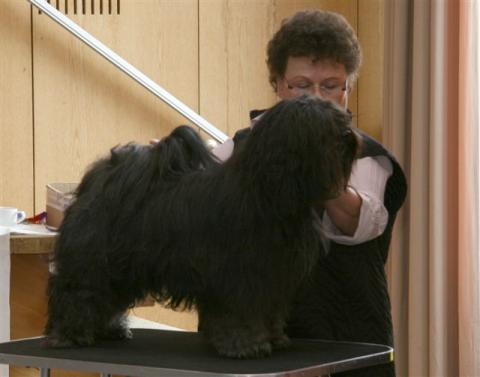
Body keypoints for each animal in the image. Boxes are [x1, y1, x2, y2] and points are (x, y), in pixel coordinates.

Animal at [45, 95, 358, 356]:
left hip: (122, 268)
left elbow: (269, 311)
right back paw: (68, 334)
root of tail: (103, 177)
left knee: (107, 297)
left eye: (340, 117)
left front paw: (275, 338)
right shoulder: (238, 275)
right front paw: (245, 344)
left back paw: (107, 329)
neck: (270, 193)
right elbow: (240, 314)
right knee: (76, 293)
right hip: (94, 262)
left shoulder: (272, 276)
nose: (348, 135)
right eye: (320, 124)